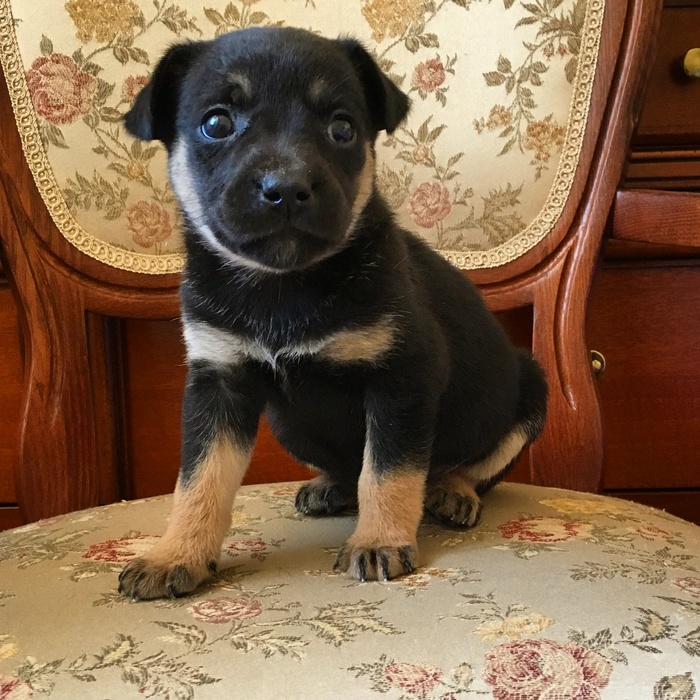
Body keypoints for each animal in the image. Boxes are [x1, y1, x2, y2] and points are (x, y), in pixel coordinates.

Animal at [118, 26, 548, 600]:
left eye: (342, 129)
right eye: (216, 123)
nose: (285, 189)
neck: (283, 285)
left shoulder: (401, 379)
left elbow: (388, 470)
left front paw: (380, 541)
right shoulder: (219, 382)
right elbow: (199, 479)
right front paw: (176, 553)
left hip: (530, 392)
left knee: (465, 468)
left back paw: (453, 491)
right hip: (289, 424)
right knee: (347, 468)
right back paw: (331, 487)